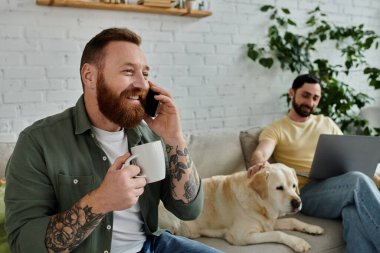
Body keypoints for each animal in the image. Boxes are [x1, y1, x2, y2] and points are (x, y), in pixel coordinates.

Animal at [158, 163, 324, 252]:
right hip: (174, 220)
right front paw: (299, 242)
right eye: (279, 188)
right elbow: (277, 234)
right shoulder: (242, 236)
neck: (258, 202)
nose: (297, 202)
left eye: (294, 185)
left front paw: (312, 228)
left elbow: (292, 221)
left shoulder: (268, 222)